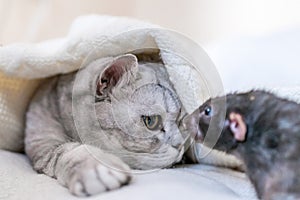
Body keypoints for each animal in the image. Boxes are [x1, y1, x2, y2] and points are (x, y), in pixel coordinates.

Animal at [24, 54, 186, 196]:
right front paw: (97, 169)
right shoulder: (41, 141)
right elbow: (69, 152)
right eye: (151, 121)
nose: (180, 145)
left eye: (180, 120)